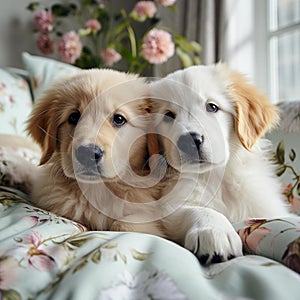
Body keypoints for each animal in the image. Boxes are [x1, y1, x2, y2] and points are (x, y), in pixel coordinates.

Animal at [150, 64, 290, 264]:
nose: (190, 141)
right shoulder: (171, 203)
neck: (217, 177)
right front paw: (216, 232)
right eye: (168, 115)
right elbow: (198, 209)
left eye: (212, 107)